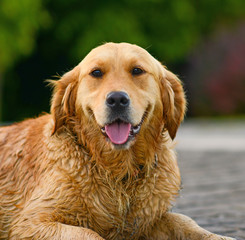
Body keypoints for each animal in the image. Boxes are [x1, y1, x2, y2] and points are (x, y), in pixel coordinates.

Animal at [0, 43, 234, 240]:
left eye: (137, 70)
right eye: (96, 73)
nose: (117, 99)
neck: (117, 173)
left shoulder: (147, 220)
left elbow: (184, 222)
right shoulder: (31, 222)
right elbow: (89, 234)